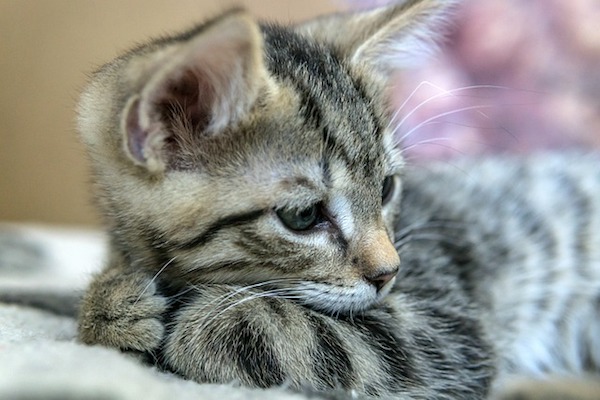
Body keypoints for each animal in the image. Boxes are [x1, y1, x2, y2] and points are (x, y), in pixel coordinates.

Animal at [75, 0, 600, 398]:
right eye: (303, 216)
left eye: (386, 188)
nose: (390, 273)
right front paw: (111, 304)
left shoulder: (441, 326)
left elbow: (266, 332)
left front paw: (190, 320)